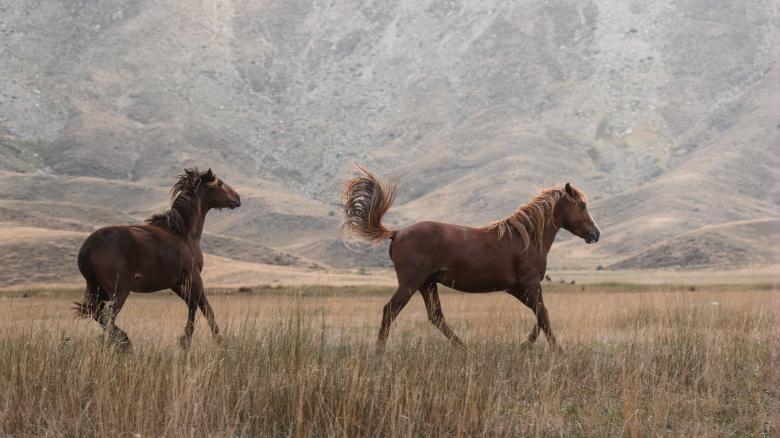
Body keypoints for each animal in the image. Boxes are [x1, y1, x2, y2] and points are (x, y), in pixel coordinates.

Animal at [74, 168, 241, 350]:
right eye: (220, 183)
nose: (237, 198)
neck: (183, 233)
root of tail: (89, 245)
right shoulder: (193, 276)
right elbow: (205, 307)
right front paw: (214, 341)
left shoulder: (176, 283)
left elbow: (193, 304)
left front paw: (187, 340)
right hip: (119, 290)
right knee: (107, 316)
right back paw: (125, 343)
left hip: (98, 288)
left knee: (98, 314)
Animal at [340, 166, 601, 350]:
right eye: (582, 205)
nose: (596, 234)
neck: (525, 239)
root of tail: (397, 232)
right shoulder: (530, 284)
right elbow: (544, 315)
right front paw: (558, 351)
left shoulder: (517, 288)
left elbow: (541, 314)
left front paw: (525, 346)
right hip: (410, 284)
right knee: (390, 311)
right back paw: (379, 353)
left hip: (427, 284)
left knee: (436, 317)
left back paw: (466, 350)